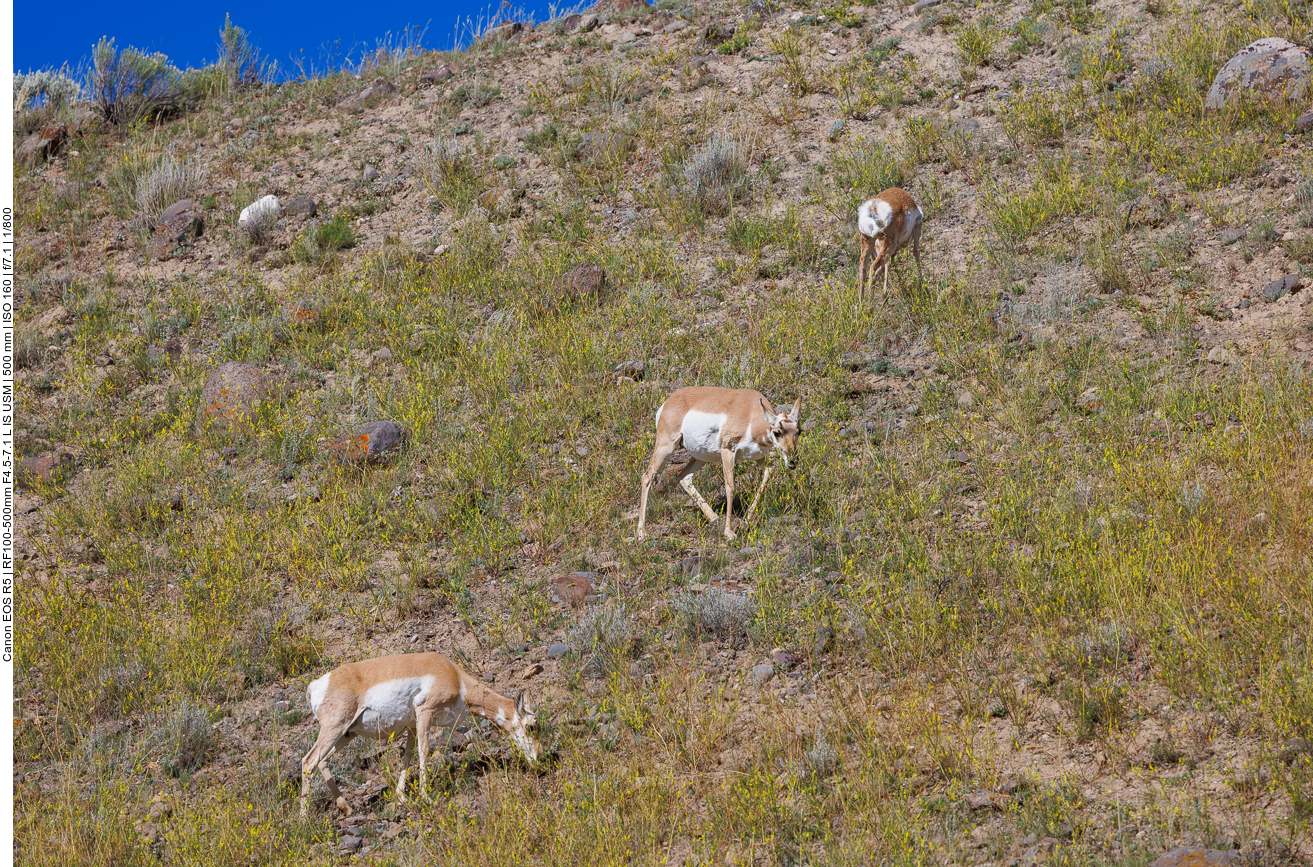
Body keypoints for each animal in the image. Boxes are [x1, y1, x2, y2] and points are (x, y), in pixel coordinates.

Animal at [300, 654, 535, 814]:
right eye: (532, 726)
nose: (538, 759)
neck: (455, 676)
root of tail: (316, 685)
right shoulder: (425, 713)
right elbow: (424, 751)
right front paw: (426, 797)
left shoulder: (412, 727)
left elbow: (407, 757)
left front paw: (401, 798)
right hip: (335, 729)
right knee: (308, 762)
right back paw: (304, 821)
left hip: (346, 734)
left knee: (321, 761)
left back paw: (346, 807)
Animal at [635, 388, 798, 541]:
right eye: (777, 432)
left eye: (798, 431)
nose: (792, 462)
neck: (750, 412)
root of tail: (670, 400)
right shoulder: (728, 451)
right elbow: (730, 487)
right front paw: (729, 532)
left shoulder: (760, 458)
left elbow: (767, 477)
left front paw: (745, 521)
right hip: (666, 447)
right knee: (647, 477)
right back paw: (642, 532)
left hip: (702, 455)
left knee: (684, 477)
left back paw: (714, 518)